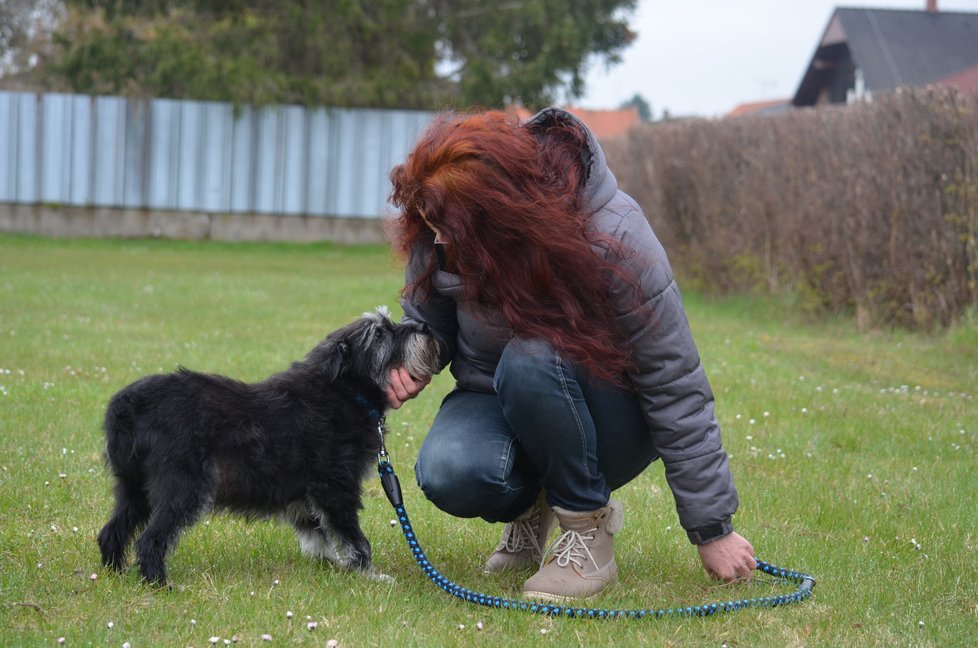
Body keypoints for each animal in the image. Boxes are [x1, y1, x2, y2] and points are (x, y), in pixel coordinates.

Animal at [95, 306, 438, 584]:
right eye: (380, 333)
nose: (425, 327)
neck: (344, 390)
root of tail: (125, 408)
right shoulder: (335, 488)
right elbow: (353, 538)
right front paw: (368, 574)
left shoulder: (306, 496)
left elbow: (317, 534)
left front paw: (329, 567)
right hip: (184, 488)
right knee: (150, 540)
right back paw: (159, 583)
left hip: (134, 489)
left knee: (113, 531)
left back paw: (115, 573)